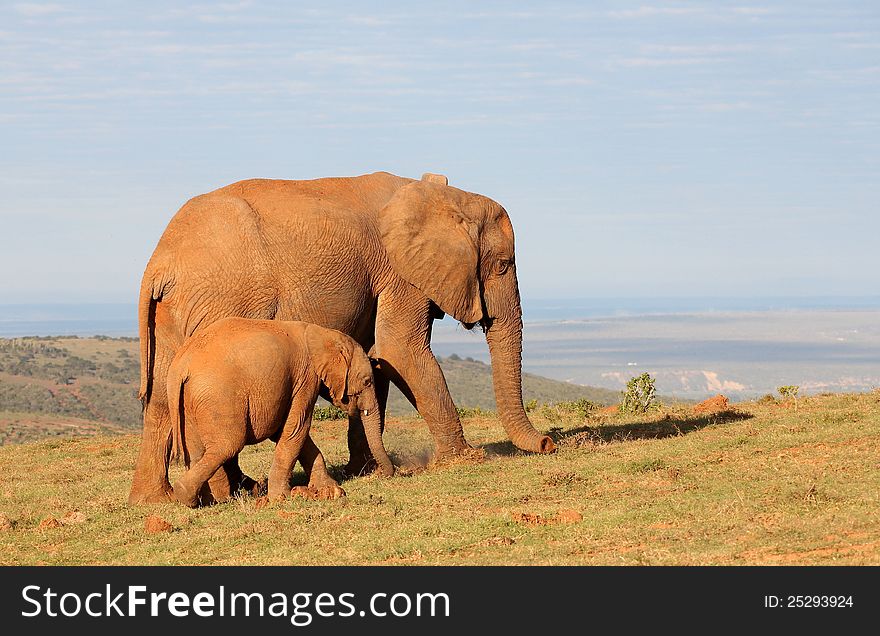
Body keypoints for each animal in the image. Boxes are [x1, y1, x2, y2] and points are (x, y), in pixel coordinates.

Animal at [167, 318, 394, 506]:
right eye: (367, 381)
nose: (384, 474)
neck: (321, 333)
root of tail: (181, 366)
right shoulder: (305, 379)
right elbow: (296, 429)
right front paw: (281, 498)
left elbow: (289, 433)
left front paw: (330, 489)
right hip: (218, 397)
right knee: (227, 445)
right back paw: (191, 496)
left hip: (189, 402)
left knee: (199, 451)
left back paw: (211, 499)